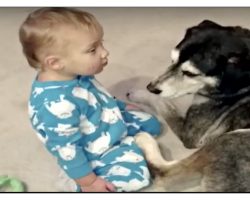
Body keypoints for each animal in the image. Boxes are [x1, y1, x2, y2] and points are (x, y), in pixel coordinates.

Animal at [128, 20, 250, 192]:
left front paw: (139, 94)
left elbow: (165, 104)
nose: (151, 87)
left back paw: (144, 139)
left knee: (166, 174)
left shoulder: (191, 135)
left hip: (231, 139)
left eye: (191, 74)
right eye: (172, 60)